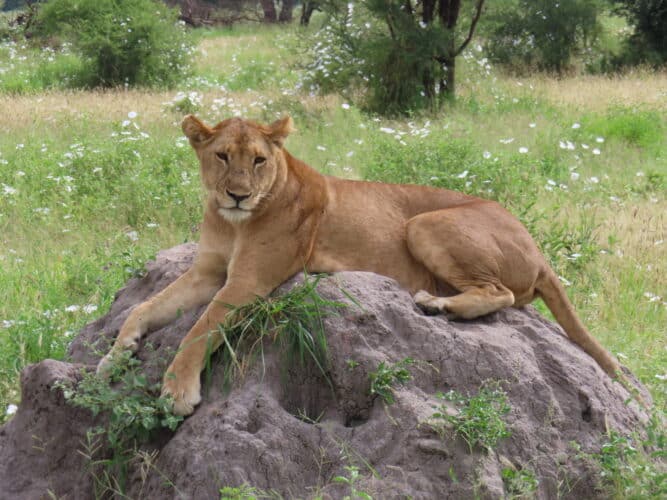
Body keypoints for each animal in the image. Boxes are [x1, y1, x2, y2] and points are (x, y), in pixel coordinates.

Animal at [97, 114, 627, 416]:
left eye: (260, 160)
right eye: (223, 156)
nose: (238, 194)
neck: (232, 223)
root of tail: (539, 251)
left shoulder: (249, 280)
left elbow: (200, 328)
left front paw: (176, 391)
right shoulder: (208, 270)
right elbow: (142, 308)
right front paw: (112, 359)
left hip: (426, 223)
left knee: (502, 293)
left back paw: (437, 305)